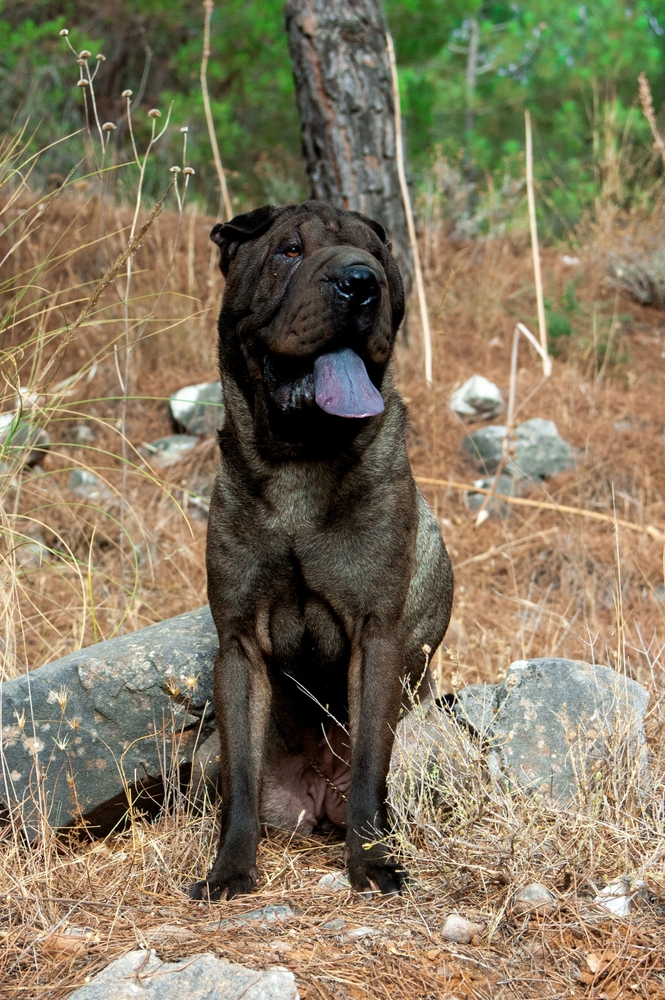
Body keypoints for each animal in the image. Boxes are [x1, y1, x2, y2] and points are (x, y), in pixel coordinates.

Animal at [189, 199, 454, 904]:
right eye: (289, 250)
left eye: (379, 256)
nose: (361, 282)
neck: (299, 469)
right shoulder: (239, 647)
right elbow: (242, 781)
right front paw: (230, 871)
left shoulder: (377, 636)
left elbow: (367, 768)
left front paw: (374, 865)